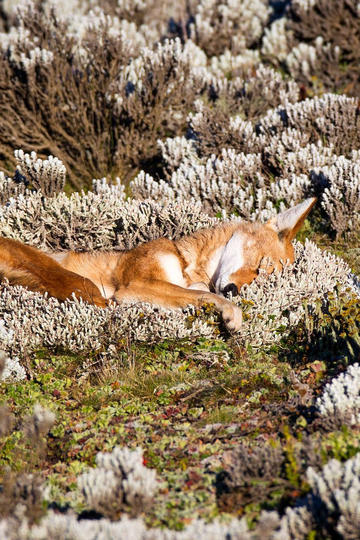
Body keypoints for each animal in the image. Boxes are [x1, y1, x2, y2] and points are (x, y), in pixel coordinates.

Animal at [0, 196, 316, 332]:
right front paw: (231, 312)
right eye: (261, 265)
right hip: (77, 281)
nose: (234, 290)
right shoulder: (137, 285)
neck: (185, 262)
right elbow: (204, 295)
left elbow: (200, 293)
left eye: (261, 280)